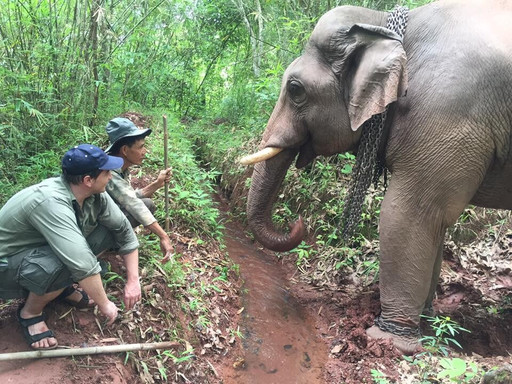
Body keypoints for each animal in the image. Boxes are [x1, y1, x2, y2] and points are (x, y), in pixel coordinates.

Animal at [240, 0, 512, 356]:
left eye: (295, 89)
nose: (299, 222)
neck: (381, 22)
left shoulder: (449, 114)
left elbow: (408, 215)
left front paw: (389, 340)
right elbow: (435, 224)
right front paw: (427, 326)